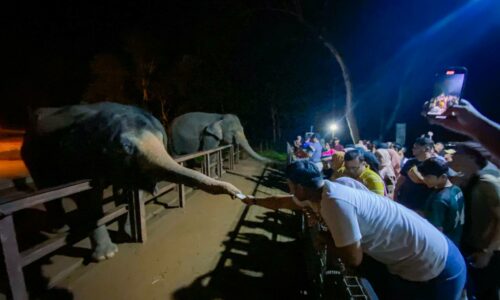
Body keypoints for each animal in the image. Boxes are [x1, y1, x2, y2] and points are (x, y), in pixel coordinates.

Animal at [22, 102, 241, 262]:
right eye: (126, 148)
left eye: (160, 138)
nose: (236, 193)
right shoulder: (77, 159)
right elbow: (88, 198)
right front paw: (108, 255)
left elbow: (128, 189)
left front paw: (127, 234)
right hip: (33, 159)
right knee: (47, 188)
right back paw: (58, 229)